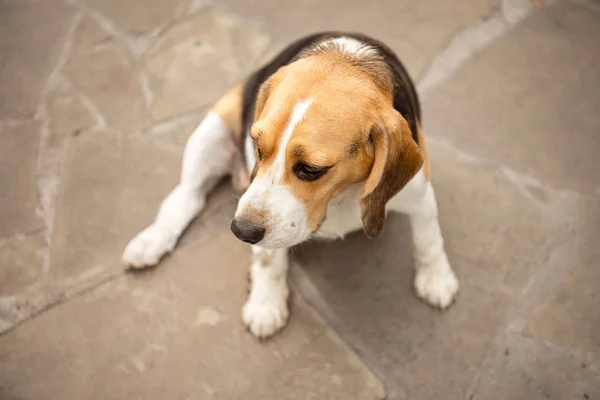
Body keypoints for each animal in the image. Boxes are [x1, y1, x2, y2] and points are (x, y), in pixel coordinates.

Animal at [122, 33, 460, 338]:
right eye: (257, 146)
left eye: (311, 169)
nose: (240, 231)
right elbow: (268, 258)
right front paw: (265, 305)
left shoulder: (419, 193)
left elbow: (428, 239)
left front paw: (436, 278)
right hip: (211, 131)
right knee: (187, 196)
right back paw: (151, 240)